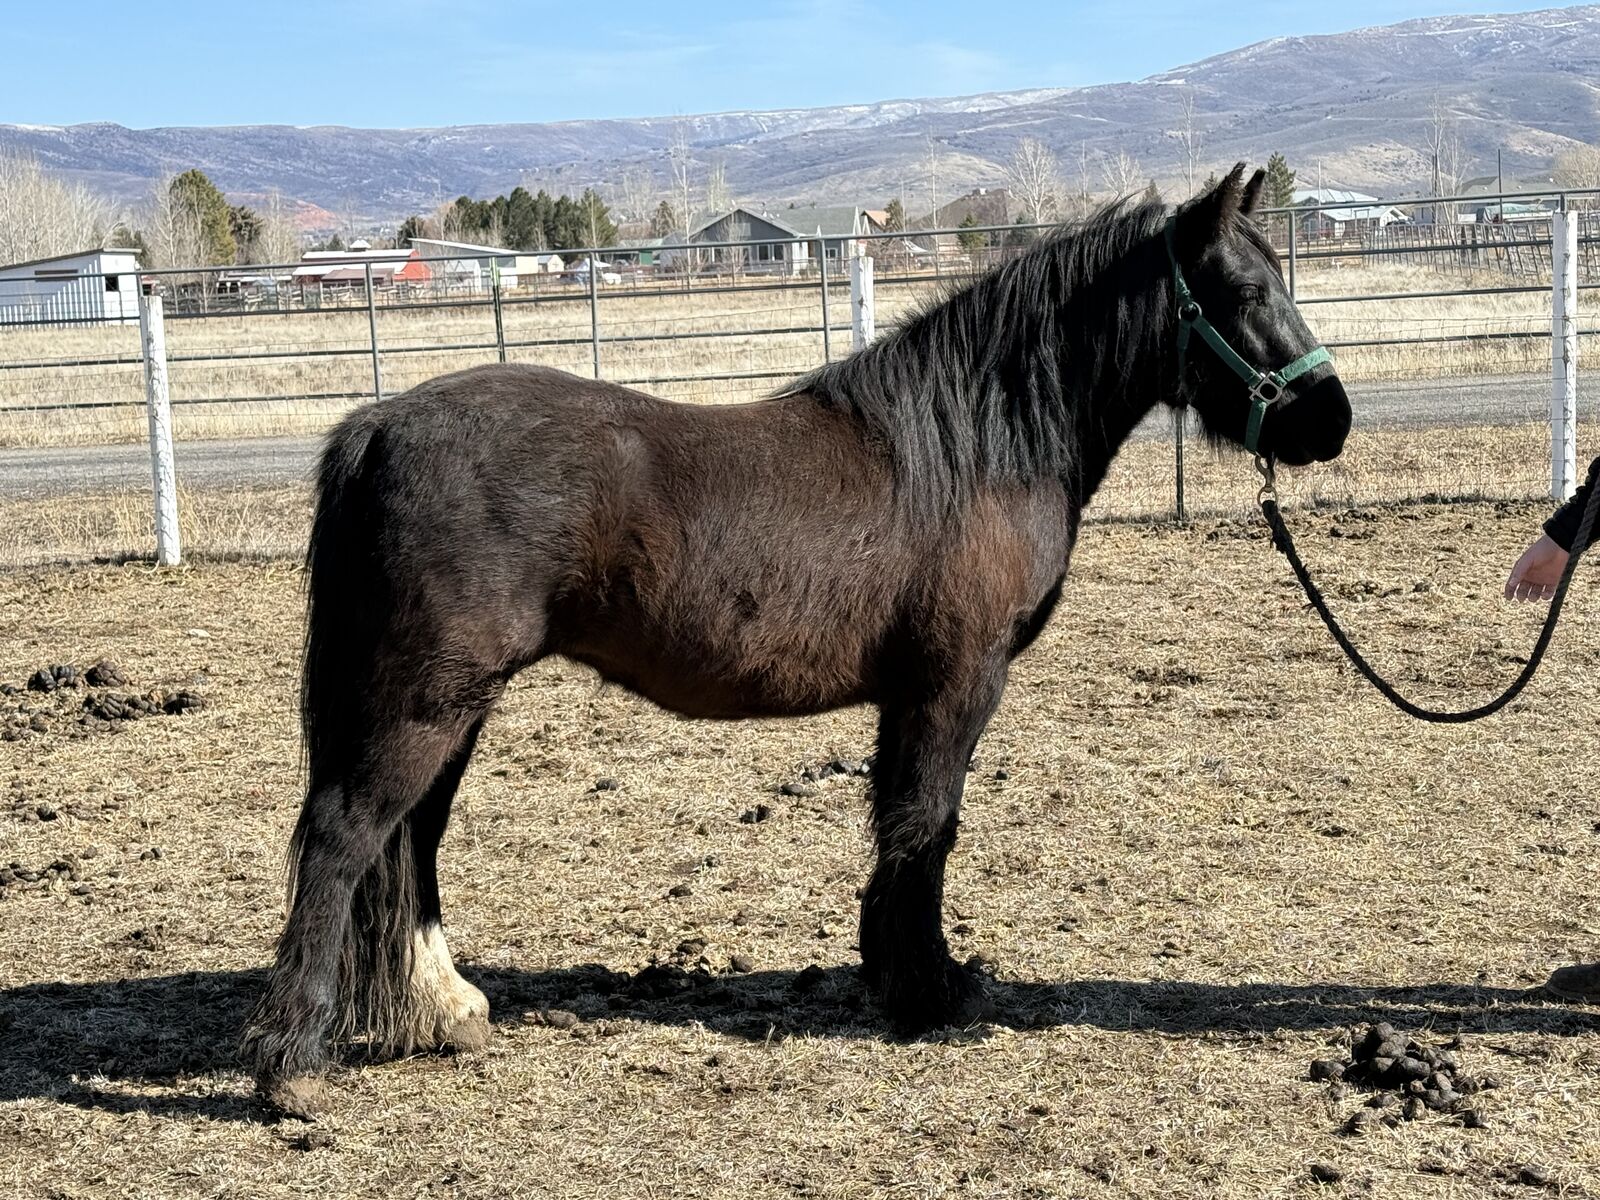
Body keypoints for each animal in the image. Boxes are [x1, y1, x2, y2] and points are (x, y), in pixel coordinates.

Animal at [242, 164, 1353, 1116]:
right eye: (1241, 287)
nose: (1329, 419)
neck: (972, 447)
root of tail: (379, 424)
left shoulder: (911, 692)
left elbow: (905, 826)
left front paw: (901, 974)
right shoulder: (955, 683)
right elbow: (927, 824)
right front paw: (930, 993)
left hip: (450, 702)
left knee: (411, 840)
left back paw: (445, 1011)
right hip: (427, 698)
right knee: (346, 836)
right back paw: (291, 1066)